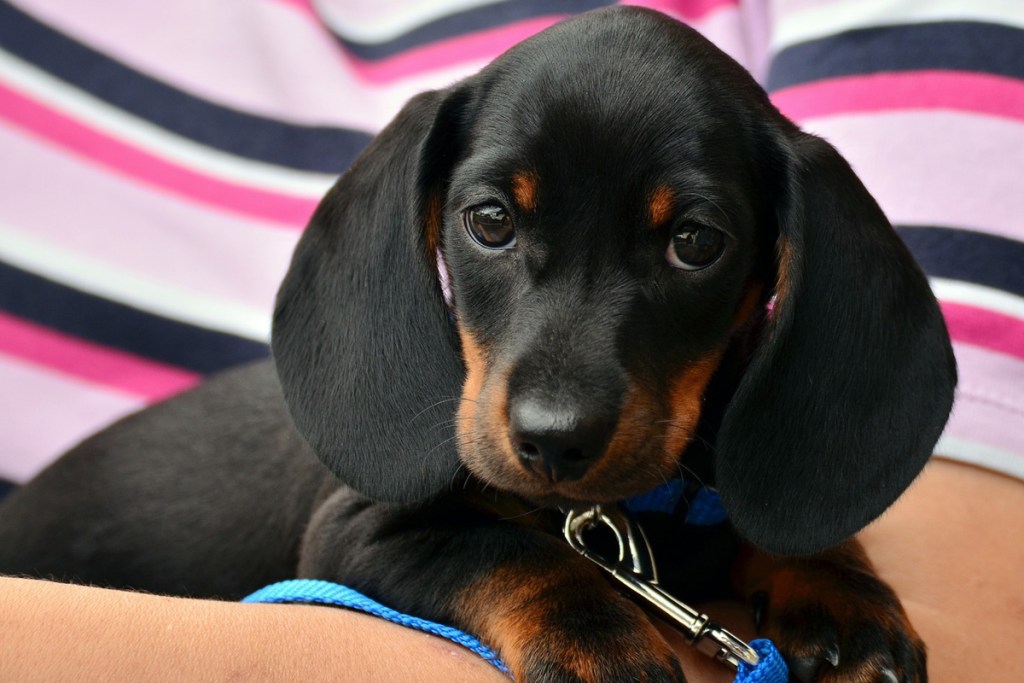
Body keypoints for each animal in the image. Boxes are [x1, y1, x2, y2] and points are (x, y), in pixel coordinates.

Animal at [2, 6, 958, 683]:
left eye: (696, 241)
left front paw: (840, 590)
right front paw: (599, 641)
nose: (553, 441)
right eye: (490, 220)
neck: (627, 517)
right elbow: (512, 550)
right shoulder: (357, 533)